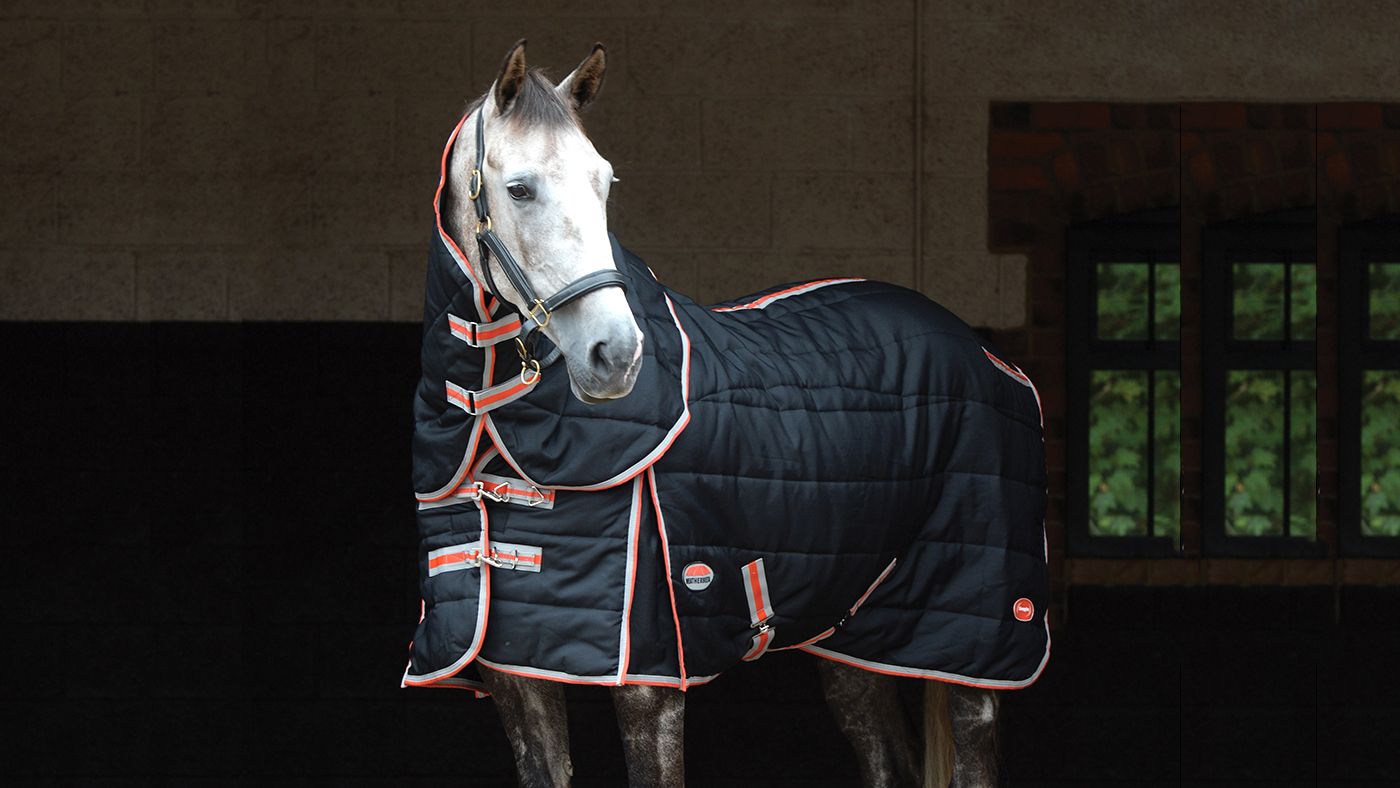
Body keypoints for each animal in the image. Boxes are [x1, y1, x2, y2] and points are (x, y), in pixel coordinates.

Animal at [403, 40, 1047, 788]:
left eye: (604, 182)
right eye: (520, 188)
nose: (616, 354)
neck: (496, 431)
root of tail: (985, 353)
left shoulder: (649, 684)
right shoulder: (517, 674)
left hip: (973, 651)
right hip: (853, 636)